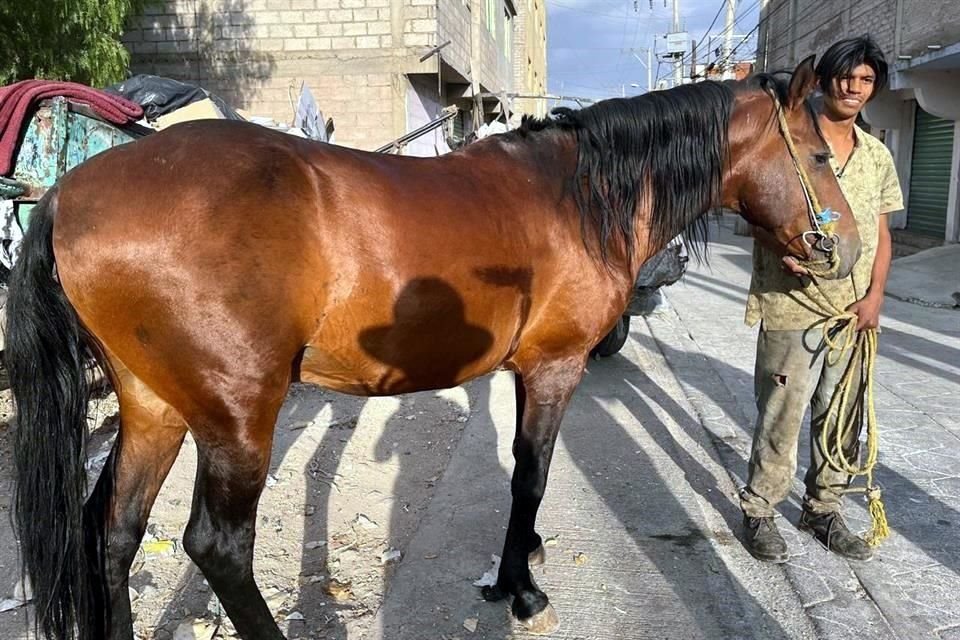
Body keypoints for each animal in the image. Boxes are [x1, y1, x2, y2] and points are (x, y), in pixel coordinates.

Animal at [9, 57, 856, 636]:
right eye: (821, 155)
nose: (844, 250)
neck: (576, 197)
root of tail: (68, 194)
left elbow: (522, 471)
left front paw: (521, 561)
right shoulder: (555, 368)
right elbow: (531, 476)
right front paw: (521, 591)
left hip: (153, 406)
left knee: (113, 531)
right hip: (237, 417)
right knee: (215, 546)